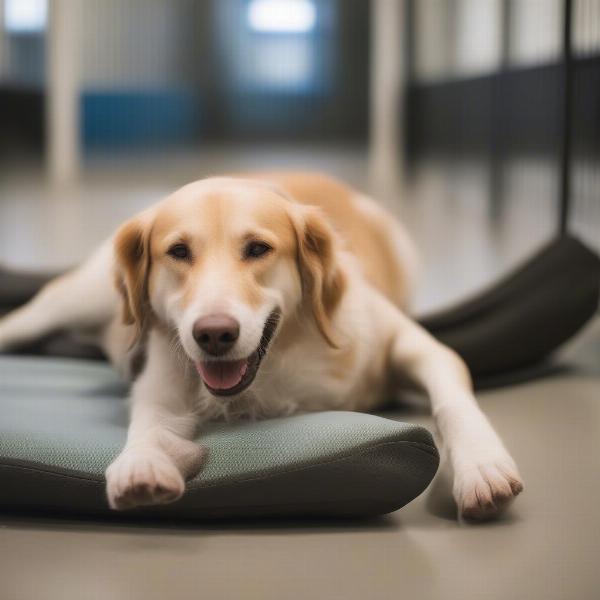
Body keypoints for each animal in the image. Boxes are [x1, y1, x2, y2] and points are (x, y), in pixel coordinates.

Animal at [0, 171, 520, 516]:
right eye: (178, 252)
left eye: (257, 249)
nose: (213, 334)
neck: (277, 366)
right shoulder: (162, 380)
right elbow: (148, 422)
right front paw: (142, 463)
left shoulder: (416, 344)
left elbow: (454, 403)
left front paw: (482, 466)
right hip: (79, 297)